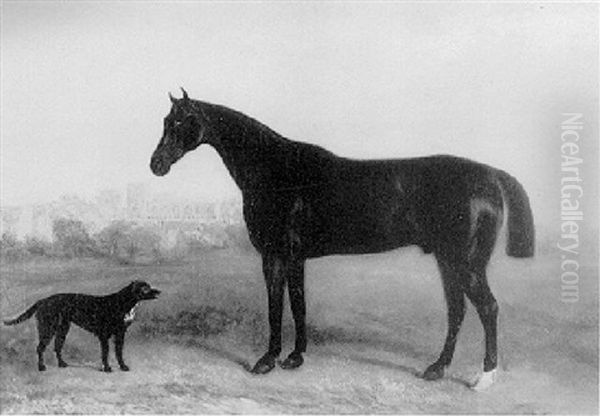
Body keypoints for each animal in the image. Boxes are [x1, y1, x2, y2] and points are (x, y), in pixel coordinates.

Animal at [2, 282, 161, 372]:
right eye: (145, 288)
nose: (158, 291)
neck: (122, 303)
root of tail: (43, 300)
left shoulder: (120, 334)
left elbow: (119, 352)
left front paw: (123, 367)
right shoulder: (104, 335)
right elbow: (105, 354)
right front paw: (107, 368)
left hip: (63, 329)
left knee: (57, 347)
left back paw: (62, 364)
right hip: (48, 328)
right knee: (40, 348)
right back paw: (41, 367)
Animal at [150, 88, 536, 390]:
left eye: (181, 122)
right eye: (166, 121)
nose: (156, 165)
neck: (277, 171)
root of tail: (490, 175)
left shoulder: (281, 255)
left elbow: (285, 304)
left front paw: (277, 359)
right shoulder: (283, 257)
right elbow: (288, 304)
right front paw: (284, 357)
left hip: (466, 263)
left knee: (487, 308)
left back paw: (484, 378)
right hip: (447, 261)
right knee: (457, 310)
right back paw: (436, 369)